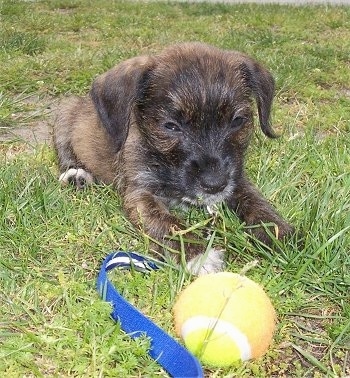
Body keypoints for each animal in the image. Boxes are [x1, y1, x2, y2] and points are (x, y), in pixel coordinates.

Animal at [54, 42, 296, 274]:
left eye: (237, 121)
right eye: (171, 126)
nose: (215, 185)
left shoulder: (237, 179)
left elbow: (256, 202)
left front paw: (280, 234)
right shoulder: (140, 194)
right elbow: (167, 223)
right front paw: (198, 255)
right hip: (64, 115)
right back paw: (77, 174)